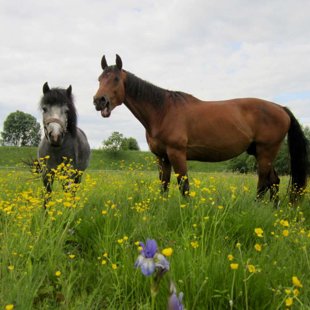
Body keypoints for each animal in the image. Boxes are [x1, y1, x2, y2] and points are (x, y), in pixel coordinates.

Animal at [92, 54, 308, 202]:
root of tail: (281, 108)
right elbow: (164, 186)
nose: (99, 101)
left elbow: (183, 186)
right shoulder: (162, 158)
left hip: (265, 152)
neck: (163, 111)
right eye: (99, 79)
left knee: (263, 183)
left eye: (116, 79)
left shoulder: (177, 154)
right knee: (274, 181)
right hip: (259, 152)